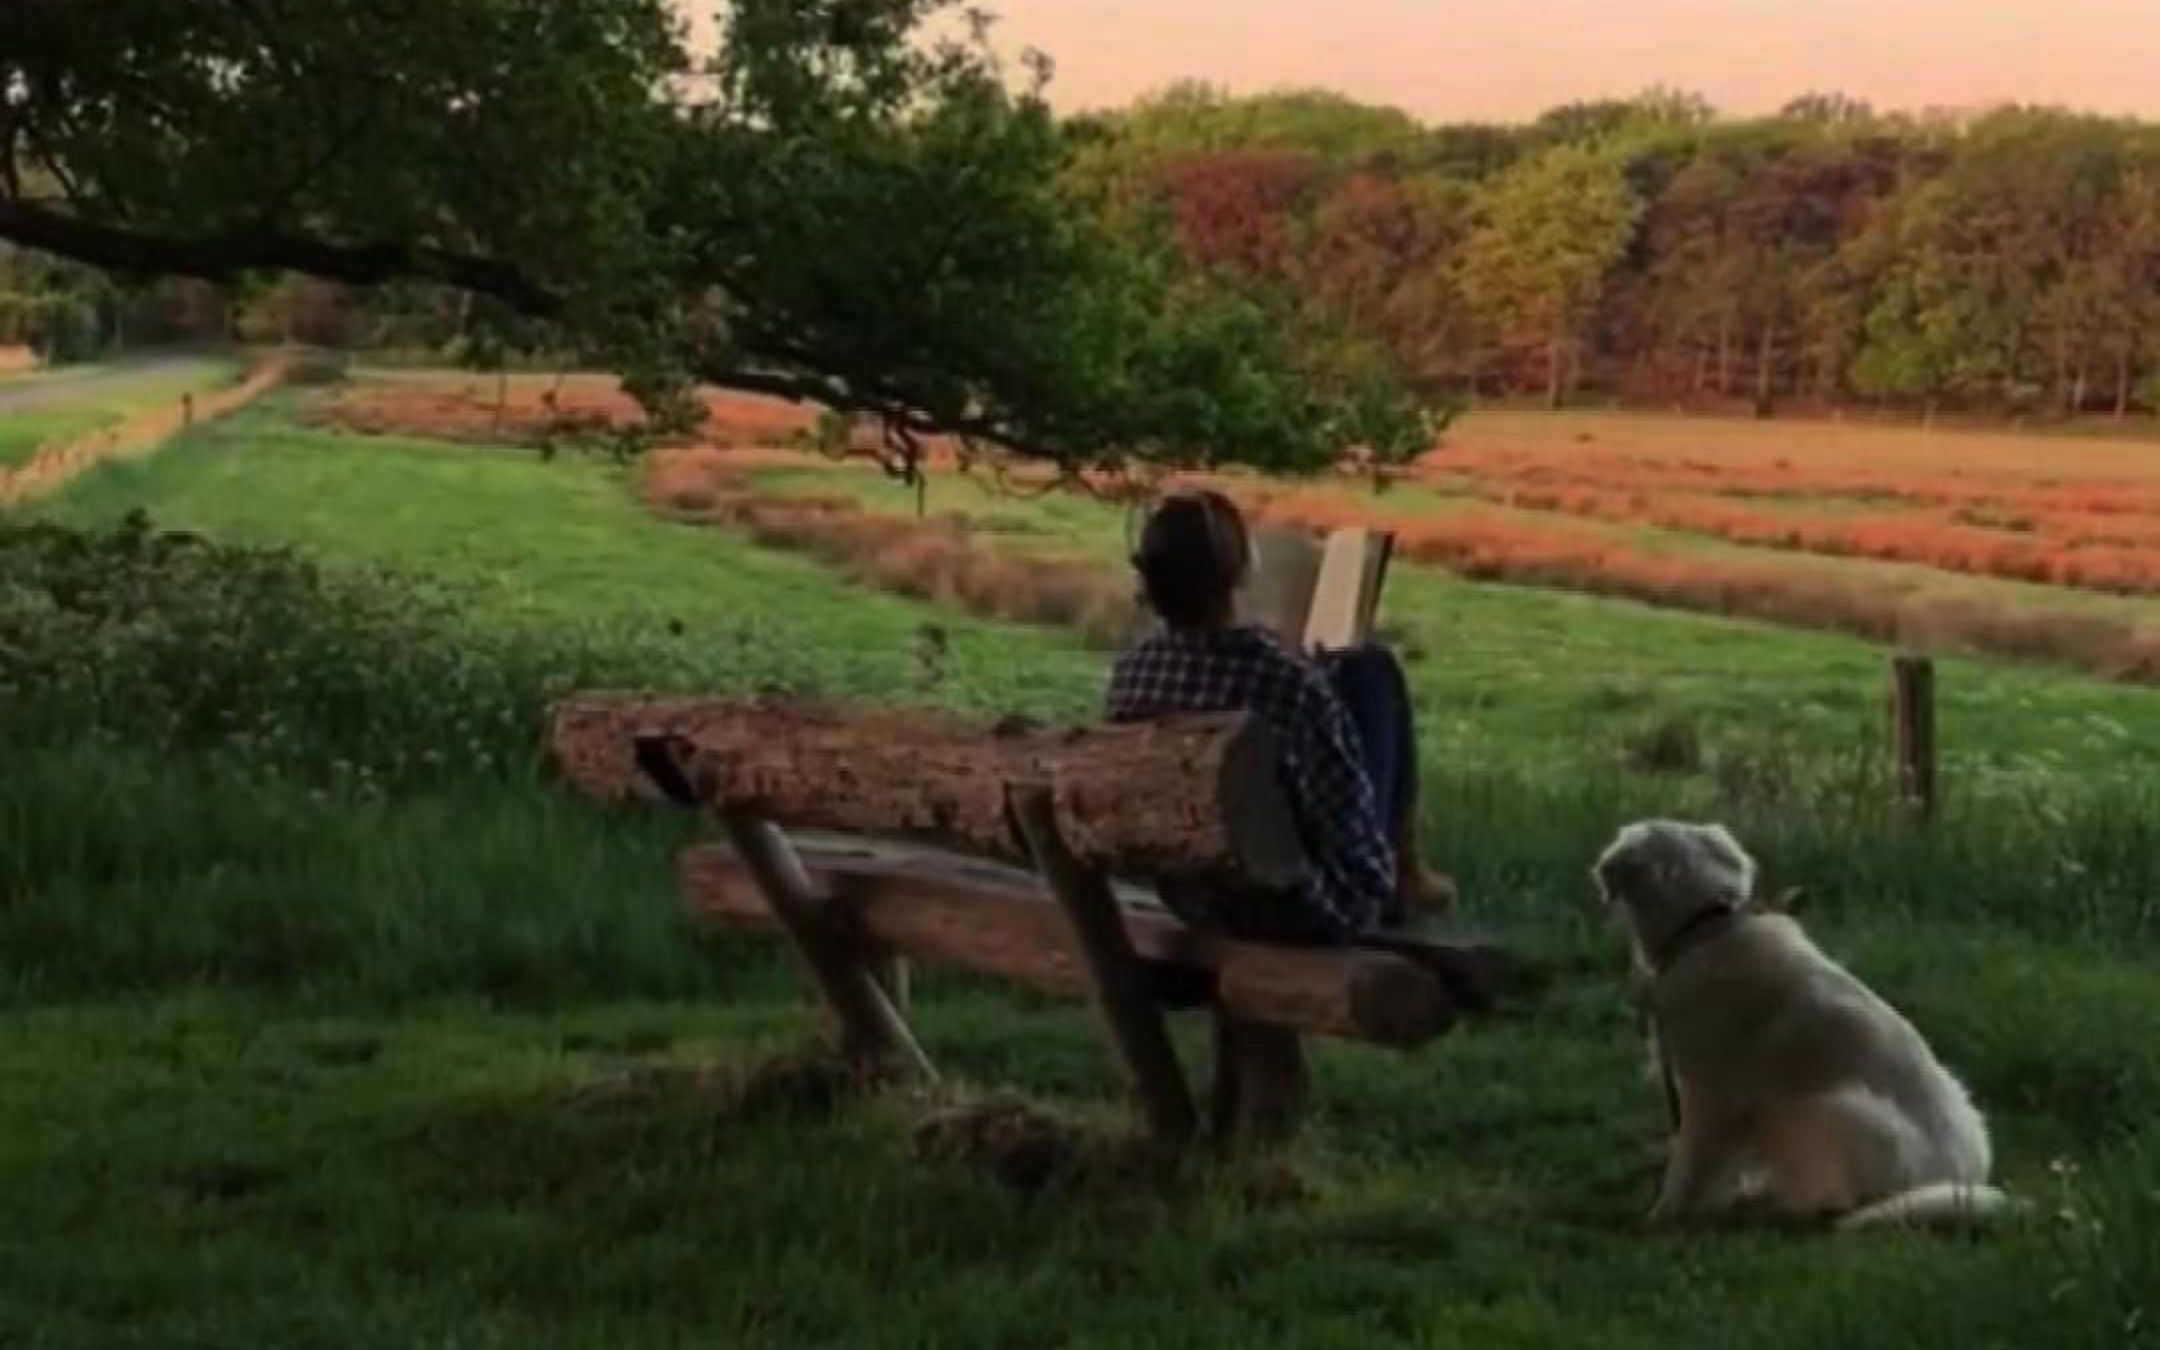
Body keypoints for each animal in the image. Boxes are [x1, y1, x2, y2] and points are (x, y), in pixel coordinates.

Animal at [1589, 816, 2004, 1226]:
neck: (1706, 929)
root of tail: (1960, 1187)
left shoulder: (1708, 1094)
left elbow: (1687, 1163)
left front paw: (1661, 1216)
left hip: (1838, 1107)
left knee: (1834, 1201)